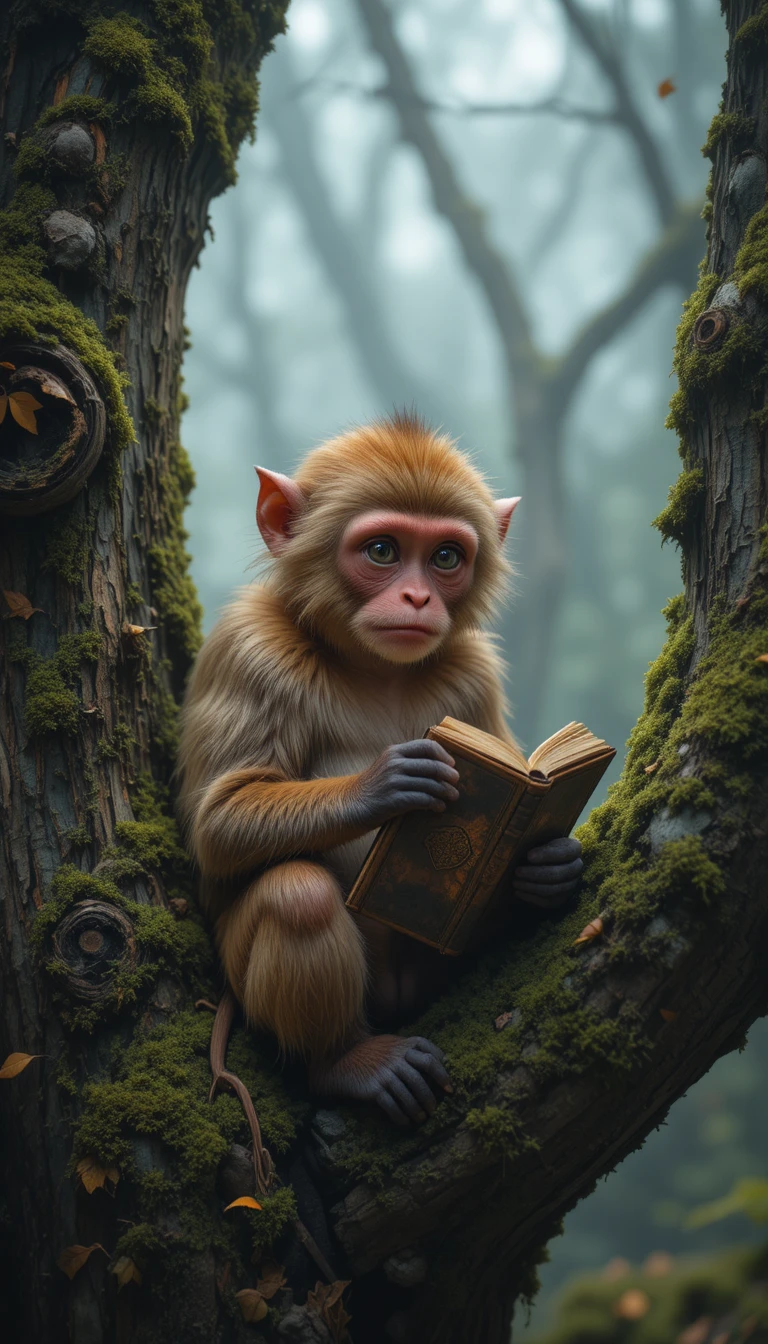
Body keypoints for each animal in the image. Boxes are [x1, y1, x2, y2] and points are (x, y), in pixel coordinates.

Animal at [178, 414, 583, 1127]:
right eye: (384, 551)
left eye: (445, 558)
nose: (418, 596)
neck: (372, 668)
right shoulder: (252, 647)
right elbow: (217, 823)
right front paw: (387, 783)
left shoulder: (473, 670)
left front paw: (552, 862)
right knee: (297, 896)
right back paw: (345, 1062)